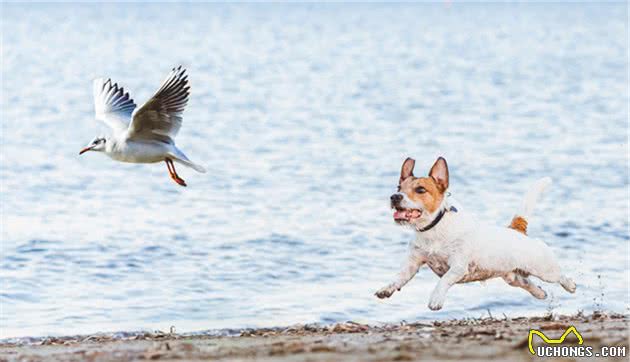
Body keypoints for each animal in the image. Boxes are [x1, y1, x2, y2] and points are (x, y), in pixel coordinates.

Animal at [376, 157, 576, 310]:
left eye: (420, 190)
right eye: (398, 188)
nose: (394, 197)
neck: (433, 229)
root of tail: (516, 229)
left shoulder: (457, 266)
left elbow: (444, 280)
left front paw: (436, 299)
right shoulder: (412, 265)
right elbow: (399, 277)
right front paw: (387, 288)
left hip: (545, 269)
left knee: (560, 275)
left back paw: (571, 285)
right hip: (512, 277)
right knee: (528, 284)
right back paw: (540, 293)